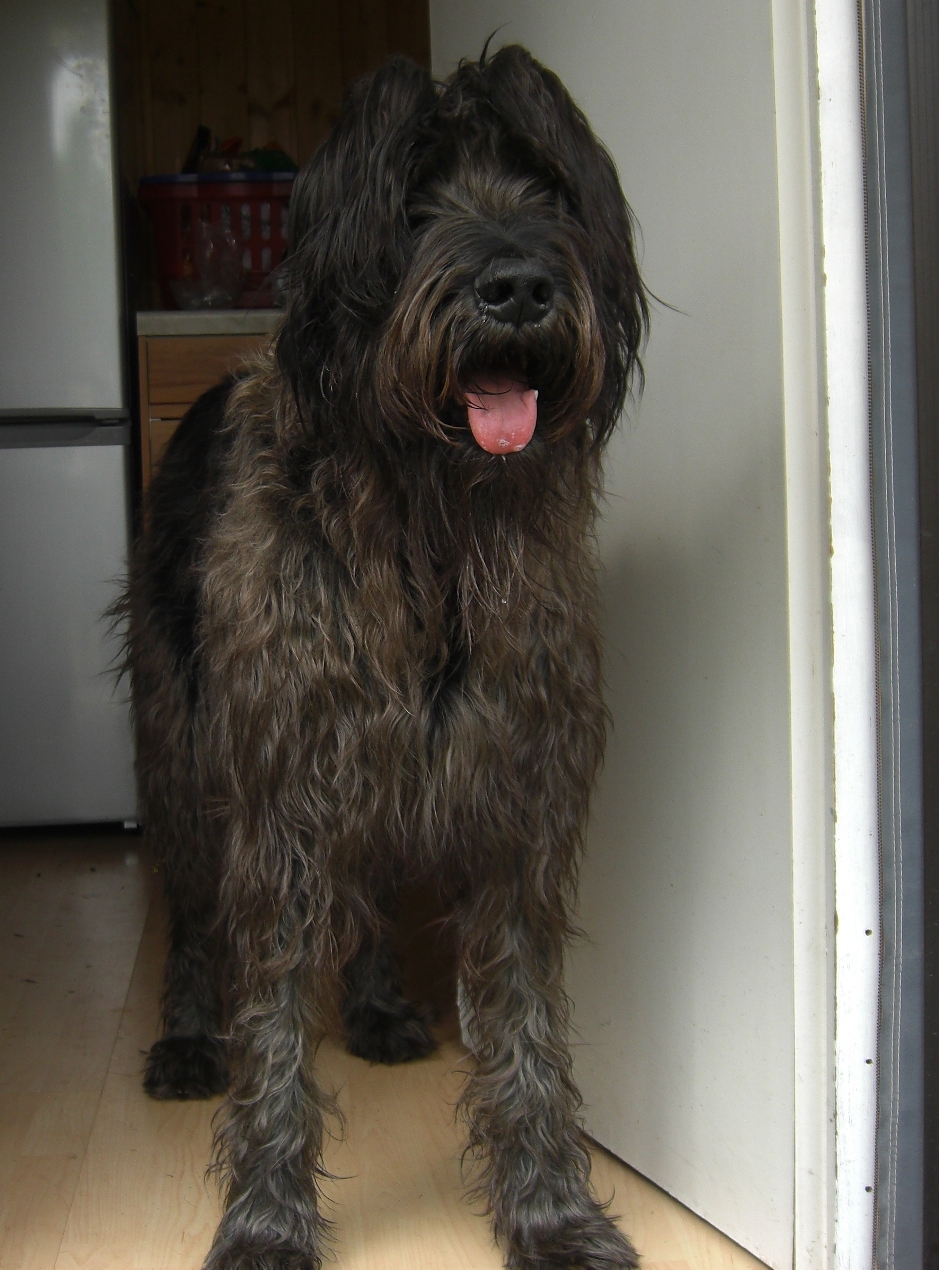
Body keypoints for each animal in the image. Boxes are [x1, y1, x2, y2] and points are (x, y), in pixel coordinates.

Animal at [126, 42, 645, 1270]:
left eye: (548, 188)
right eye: (410, 204)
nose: (517, 286)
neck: (429, 541)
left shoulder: (512, 802)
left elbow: (526, 1029)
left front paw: (551, 1211)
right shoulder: (278, 800)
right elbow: (270, 1024)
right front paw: (266, 1219)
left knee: (366, 890)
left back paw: (379, 1008)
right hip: (181, 755)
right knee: (193, 920)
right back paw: (185, 1040)